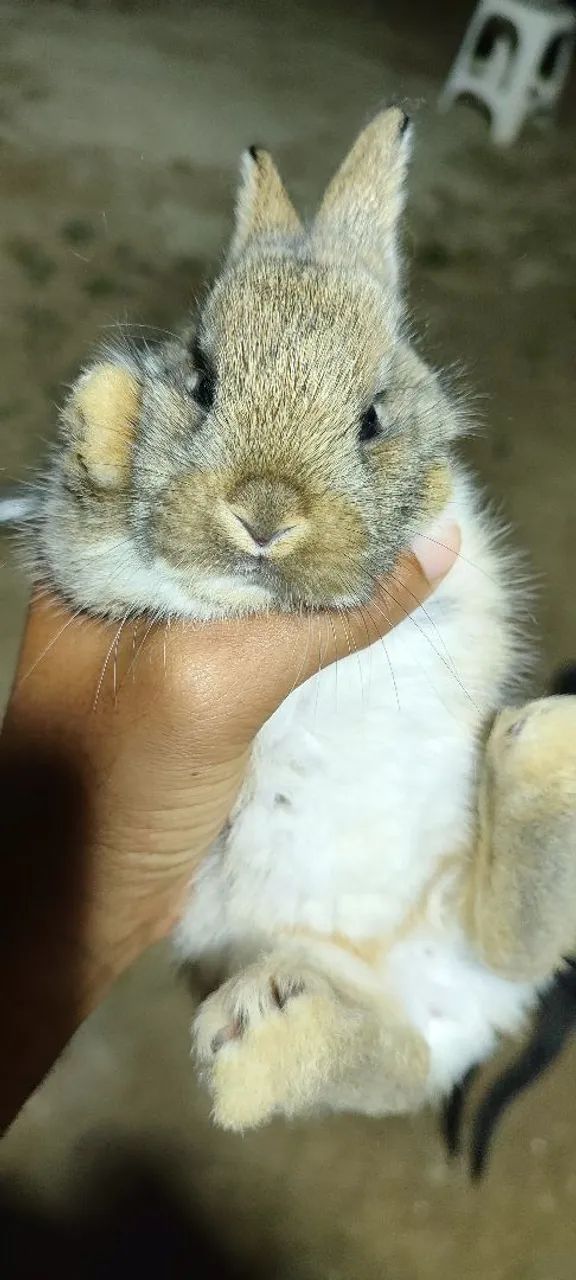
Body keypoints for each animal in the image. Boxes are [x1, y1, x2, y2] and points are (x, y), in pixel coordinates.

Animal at [20, 108, 576, 1133]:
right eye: (201, 379)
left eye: (372, 417)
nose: (265, 515)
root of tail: (441, 999)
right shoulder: (89, 568)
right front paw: (111, 408)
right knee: (393, 1056)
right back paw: (259, 1041)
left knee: (506, 950)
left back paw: (540, 750)